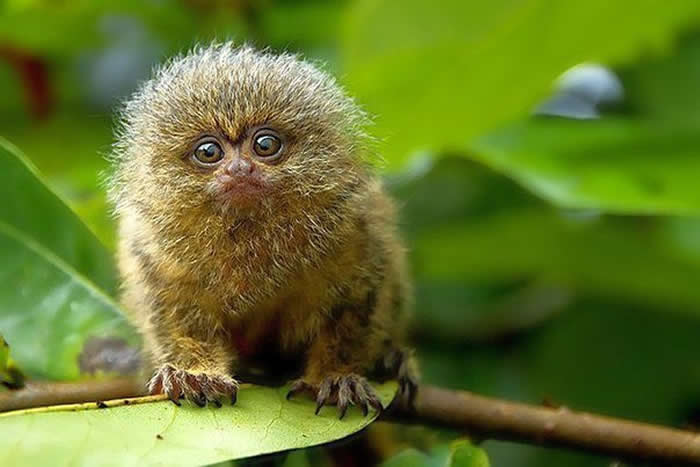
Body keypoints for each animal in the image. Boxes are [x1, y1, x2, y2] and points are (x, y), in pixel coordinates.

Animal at [108, 43, 417, 418]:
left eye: (265, 145)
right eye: (209, 151)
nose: (240, 169)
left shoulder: (358, 232)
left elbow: (353, 313)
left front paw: (335, 376)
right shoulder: (155, 254)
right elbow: (174, 317)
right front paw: (194, 374)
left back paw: (393, 361)